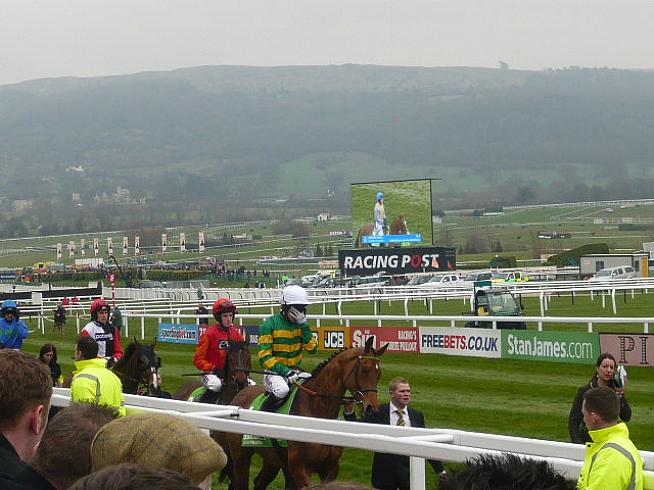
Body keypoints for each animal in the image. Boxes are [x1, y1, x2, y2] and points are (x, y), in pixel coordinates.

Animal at [226, 336, 389, 490]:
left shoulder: (330, 469)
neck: (316, 411)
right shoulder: (300, 468)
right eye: (365, 370)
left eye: (379, 373)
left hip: (272, 460)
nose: (371, 409)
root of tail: (241, 392)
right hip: (241, 457)